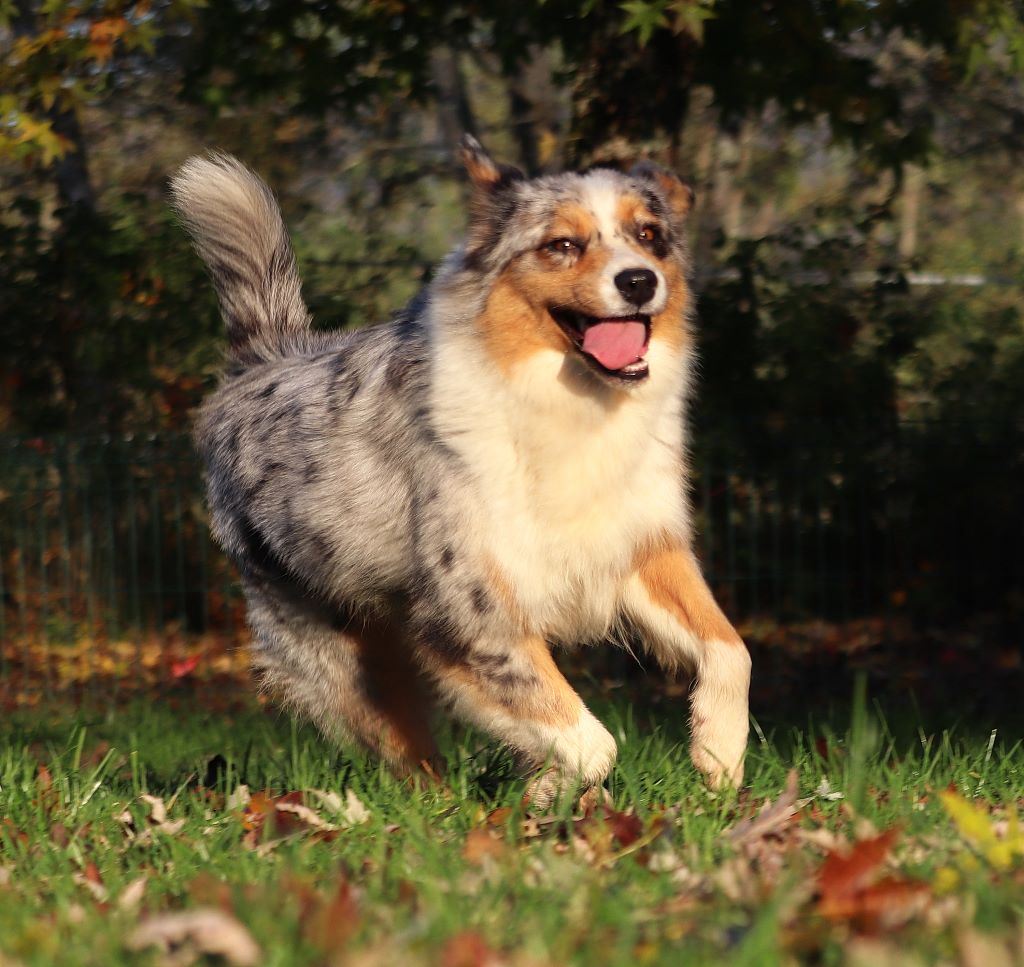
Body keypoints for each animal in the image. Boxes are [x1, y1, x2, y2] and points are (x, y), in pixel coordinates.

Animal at [172, 139, 753, 807]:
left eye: (650, 235)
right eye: (561, 244)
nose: (639, 280)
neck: (568, 405)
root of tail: (264, 359)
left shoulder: (638, 548)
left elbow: (731, 651)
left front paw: (717, 754)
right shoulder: (473, 614)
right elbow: (590, 741)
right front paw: (545, 796)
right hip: (347, 662)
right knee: (412, 763)